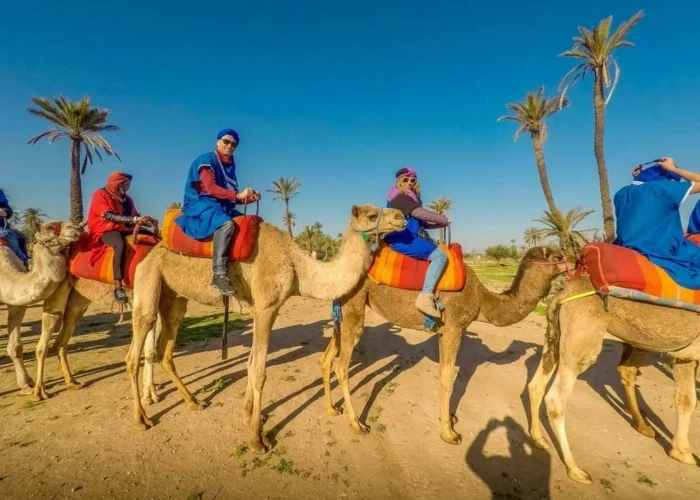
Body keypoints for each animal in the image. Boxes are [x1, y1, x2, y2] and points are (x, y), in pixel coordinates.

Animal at [126, 204, 406, 453]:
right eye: (371, 214)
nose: (401, 216)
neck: (297, 267)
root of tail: (149, 249)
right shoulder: (266, 308)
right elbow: (259, 371)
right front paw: (257, 440)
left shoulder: (264, 310)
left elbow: (251, 365)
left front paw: (249, 416)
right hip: (147, 280)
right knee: (136, 345)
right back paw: (141, 419)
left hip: (173, 297)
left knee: (165, 348)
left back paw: (194, 402)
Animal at [321, 246, 570, 444]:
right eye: (558, 255)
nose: (573, 261)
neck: (481, 299)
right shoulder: (453, 328)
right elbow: (448, 377)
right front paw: (449, 433)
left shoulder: (444, 332)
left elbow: (445, 374)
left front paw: (449, 418)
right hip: (354, 304)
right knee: (342, 366)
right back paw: (357, 424)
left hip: (342, 312)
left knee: (326, 358)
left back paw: (332, 409)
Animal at [527, 275, 700, 484]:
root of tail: (563, 293)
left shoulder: (686, 355)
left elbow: (686, 400)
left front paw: (682, 453)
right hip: (583, 332)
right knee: (555, 399)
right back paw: (575, 469)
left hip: (555, 333)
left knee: (536, 384)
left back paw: (538, 439)